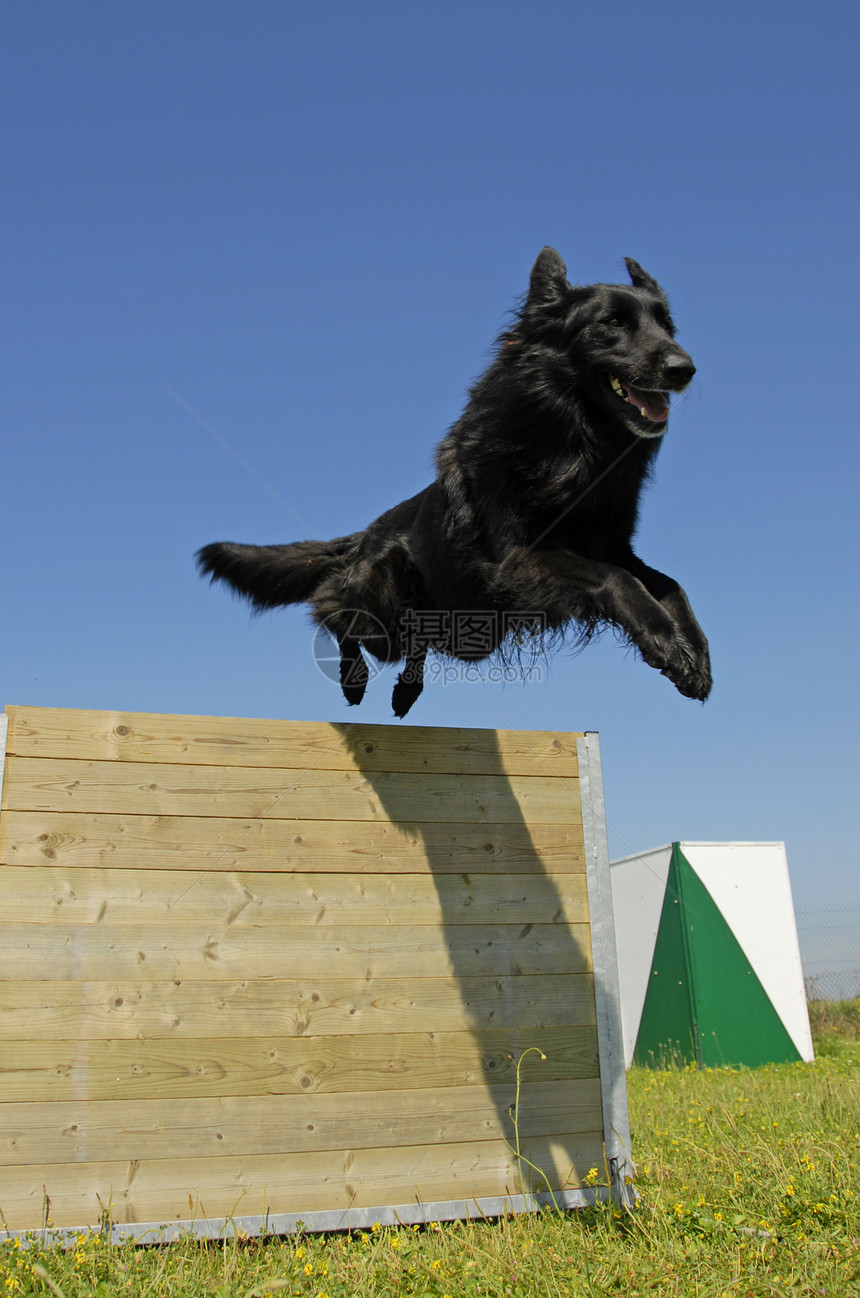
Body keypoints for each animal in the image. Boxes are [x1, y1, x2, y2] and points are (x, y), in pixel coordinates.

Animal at [198, 247, 710, 716]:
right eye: (613, 323)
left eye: (666, 325)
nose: (685, 369)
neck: (572, 445)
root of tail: (365, 535)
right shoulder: (519, 559)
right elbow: (617, 579)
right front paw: (666, 643)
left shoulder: (610, 546)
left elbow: (669, 584)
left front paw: (694, 652)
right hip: (385, 611)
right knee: (332, 610)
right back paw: (353, 678)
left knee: (407, 640)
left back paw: (406, 690)